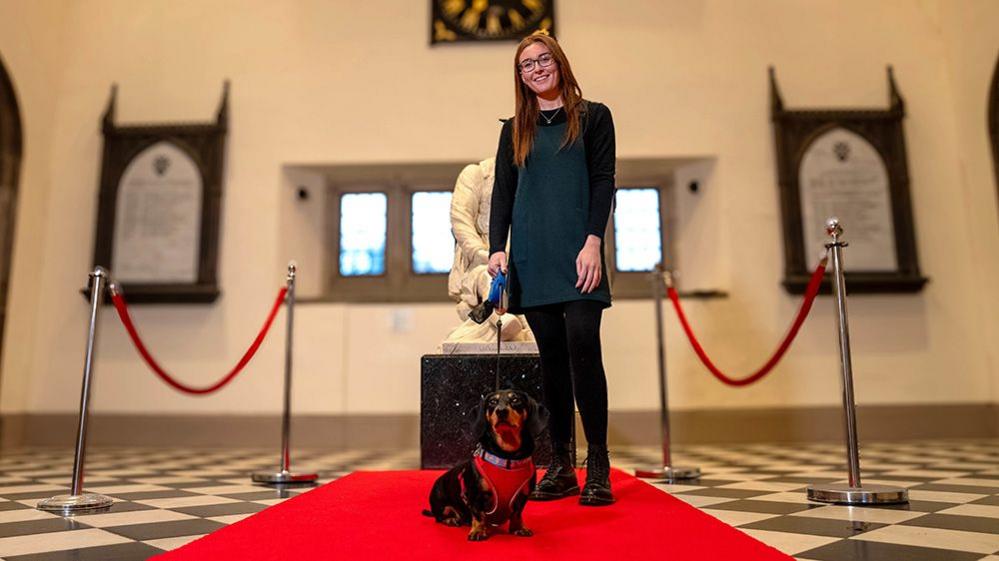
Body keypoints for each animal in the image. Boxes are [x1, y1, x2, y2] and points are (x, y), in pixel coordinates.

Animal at [422, 390, 548, 540]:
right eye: (492, 402)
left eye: (515, 400)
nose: (501, 411)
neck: (507, 457)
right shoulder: (475, 496)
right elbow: (478, 515)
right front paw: (477, 530)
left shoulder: (522, 496)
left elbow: (517, 514)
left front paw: (519, 528)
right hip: (441, 503)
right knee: (440, 516)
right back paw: (451, 519)